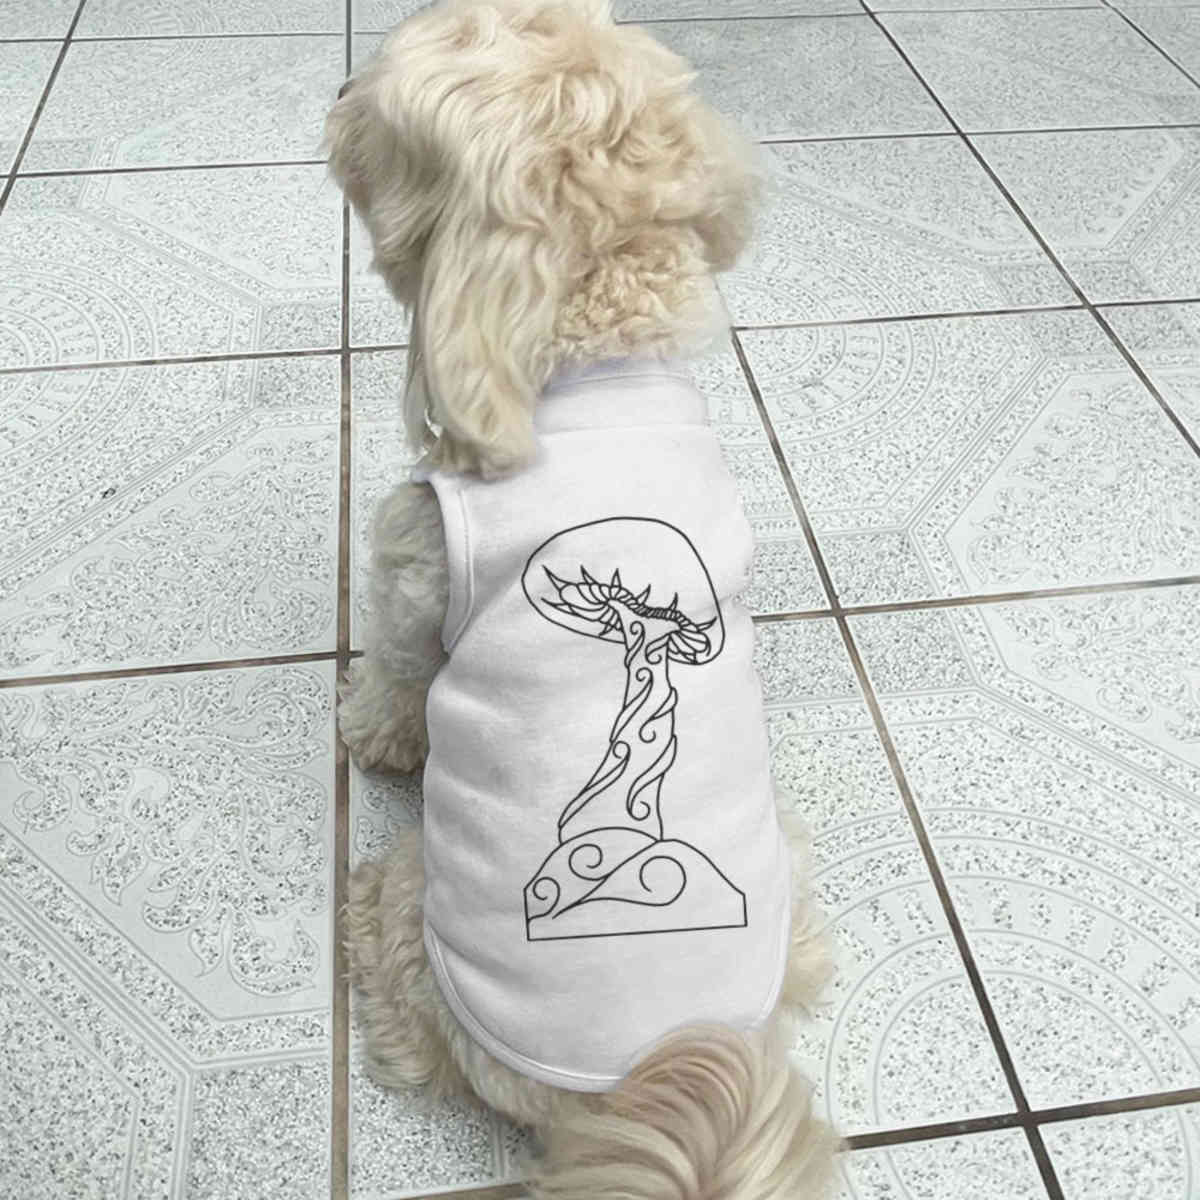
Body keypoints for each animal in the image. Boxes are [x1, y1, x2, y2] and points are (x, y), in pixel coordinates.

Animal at [325, 2, 837, 1195]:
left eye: (386, 120)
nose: (336, 99)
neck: (595, 360)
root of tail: (639, 1086)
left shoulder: (412, 574)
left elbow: (396, 684)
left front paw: (367, 733)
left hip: (415, 924)